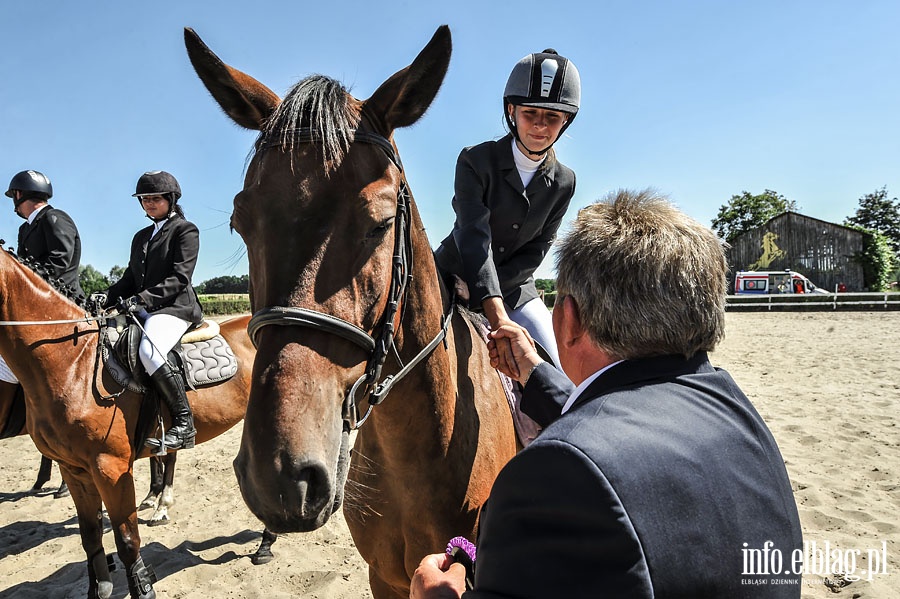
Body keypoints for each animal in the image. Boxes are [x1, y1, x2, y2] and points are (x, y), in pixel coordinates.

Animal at [0, 246, 272, 596]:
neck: (72, 363)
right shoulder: (74, 469)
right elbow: (90, 538)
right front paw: (99, 588)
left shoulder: (110, 468)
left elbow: (127, 540)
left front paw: (144, 588)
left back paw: (265, 542)